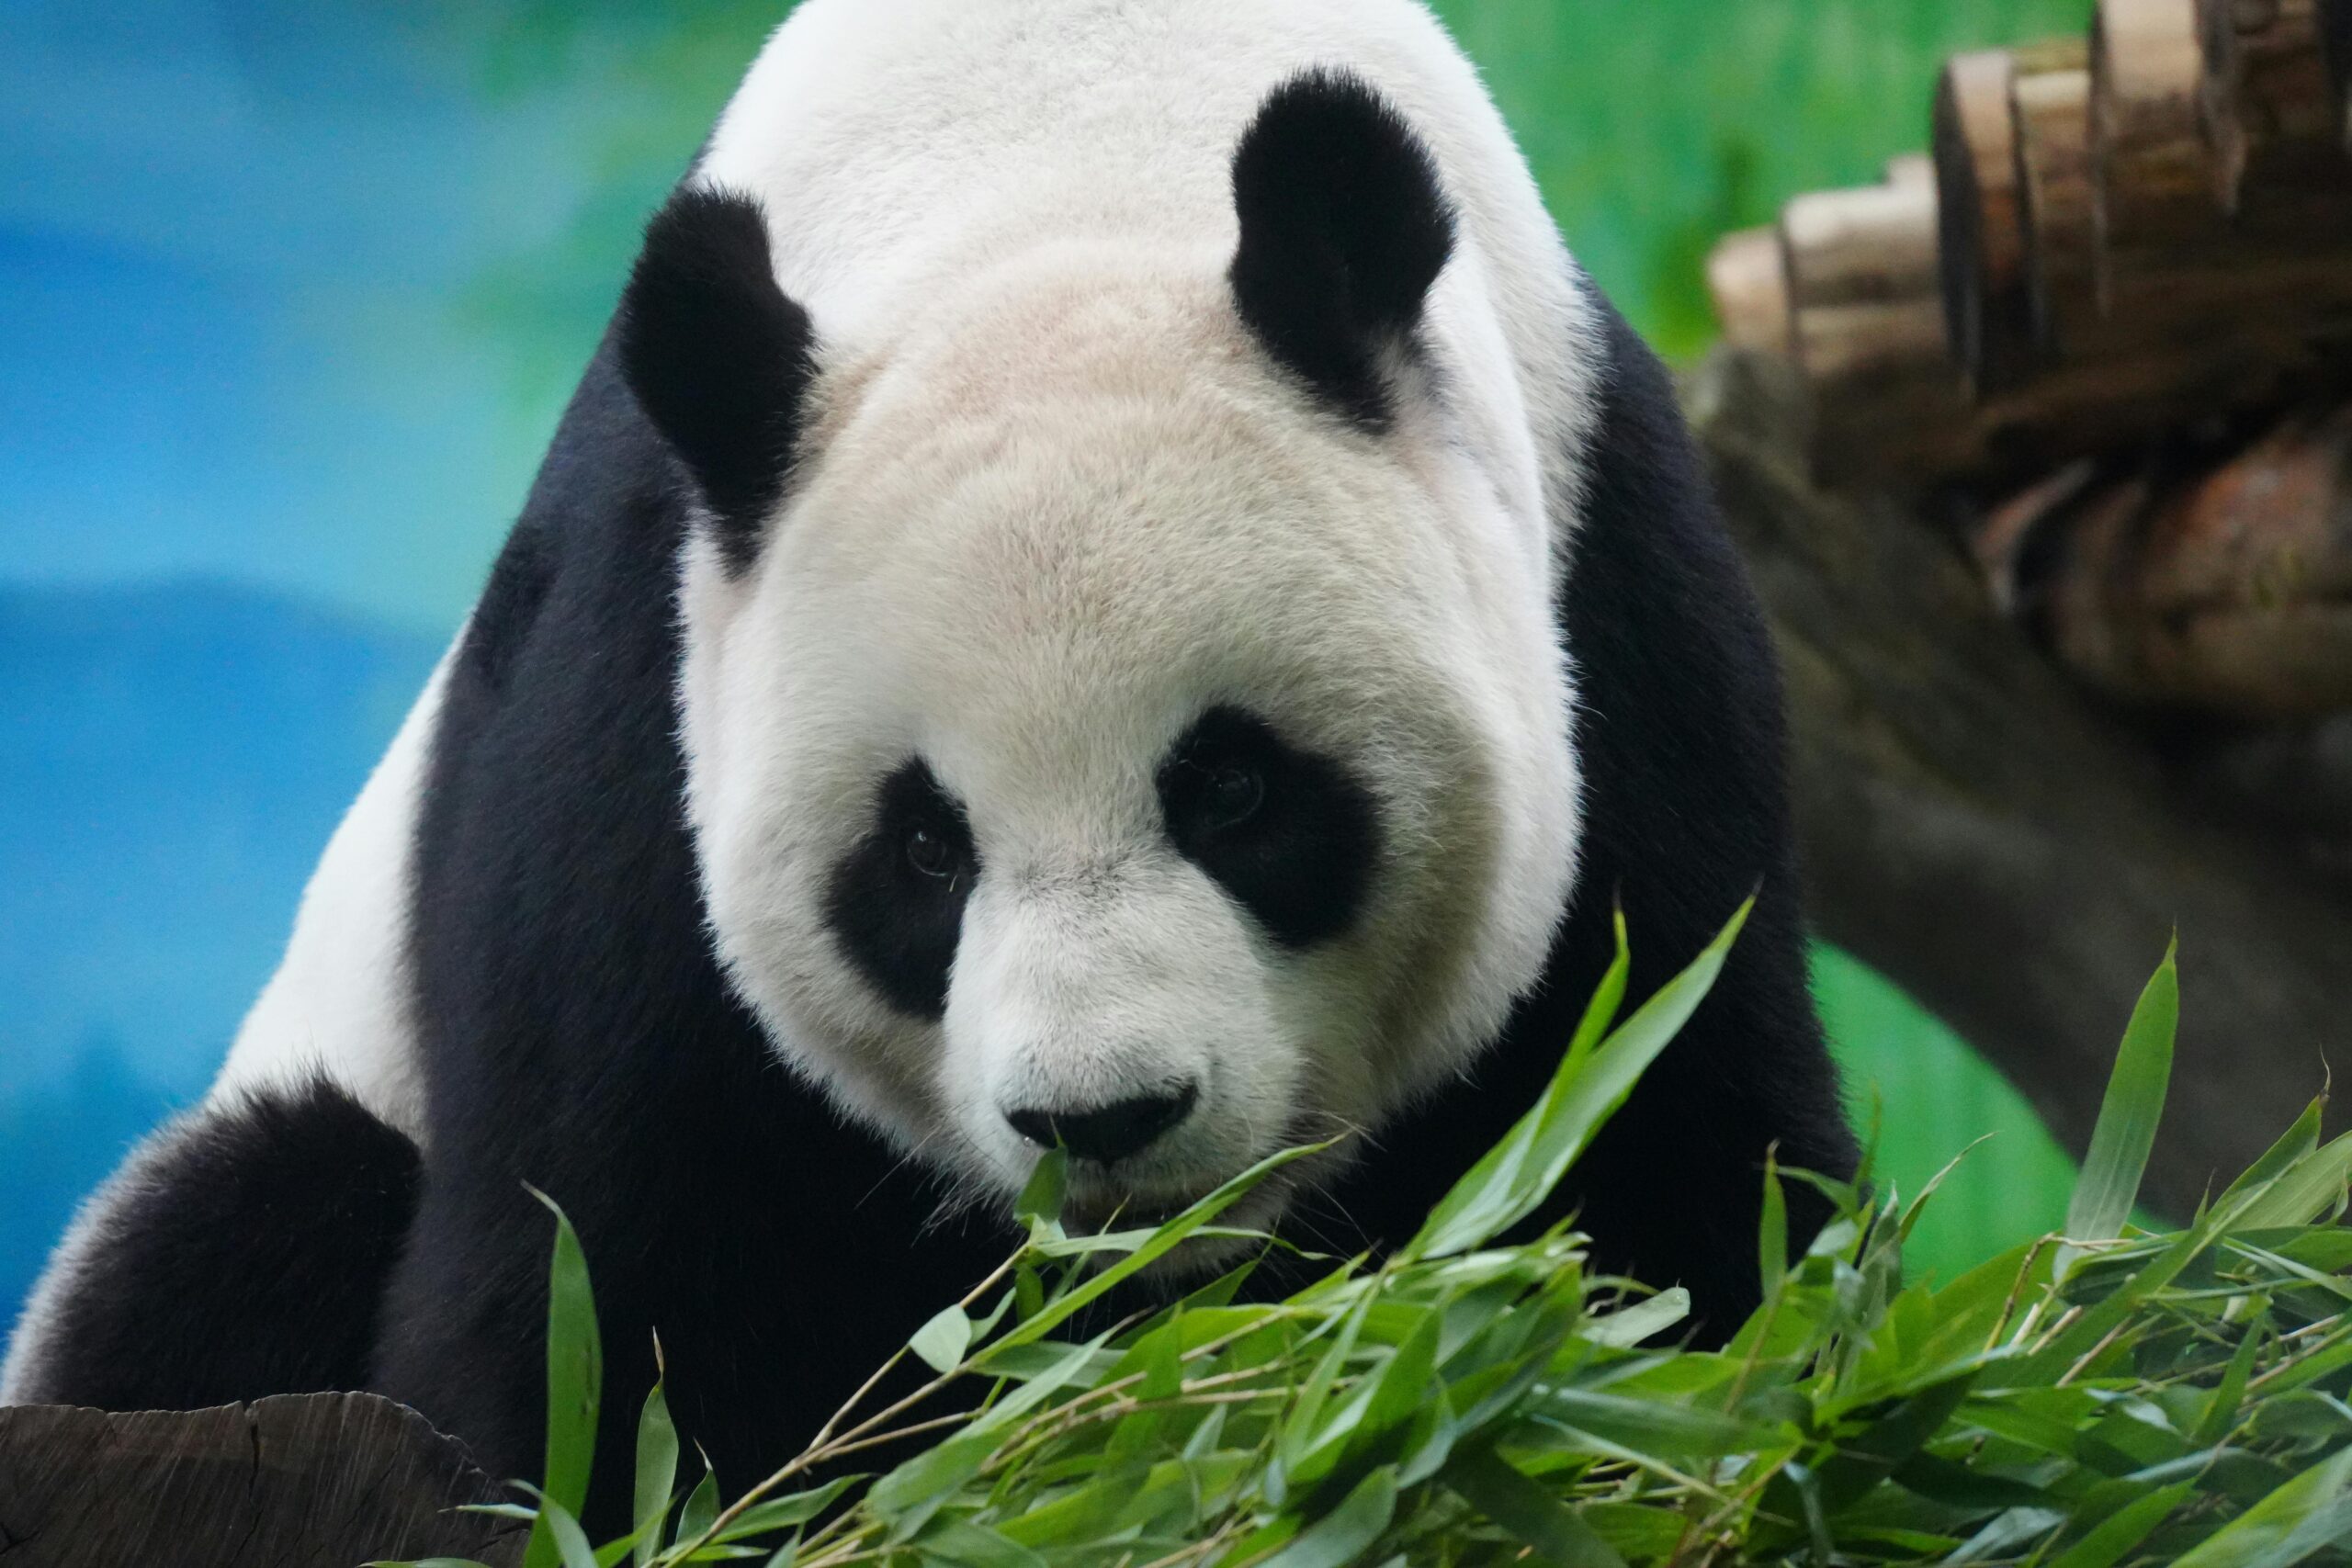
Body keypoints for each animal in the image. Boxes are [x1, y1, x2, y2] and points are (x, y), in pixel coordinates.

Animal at [3, 0, 1856, 1526]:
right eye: (922, 849)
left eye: (1234, 787)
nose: (1102, 1116)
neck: (1066, 152)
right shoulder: (640, 703)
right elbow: (604, 1294)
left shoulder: (1614, 604)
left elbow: (1676, 1167)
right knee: (239, 1225)